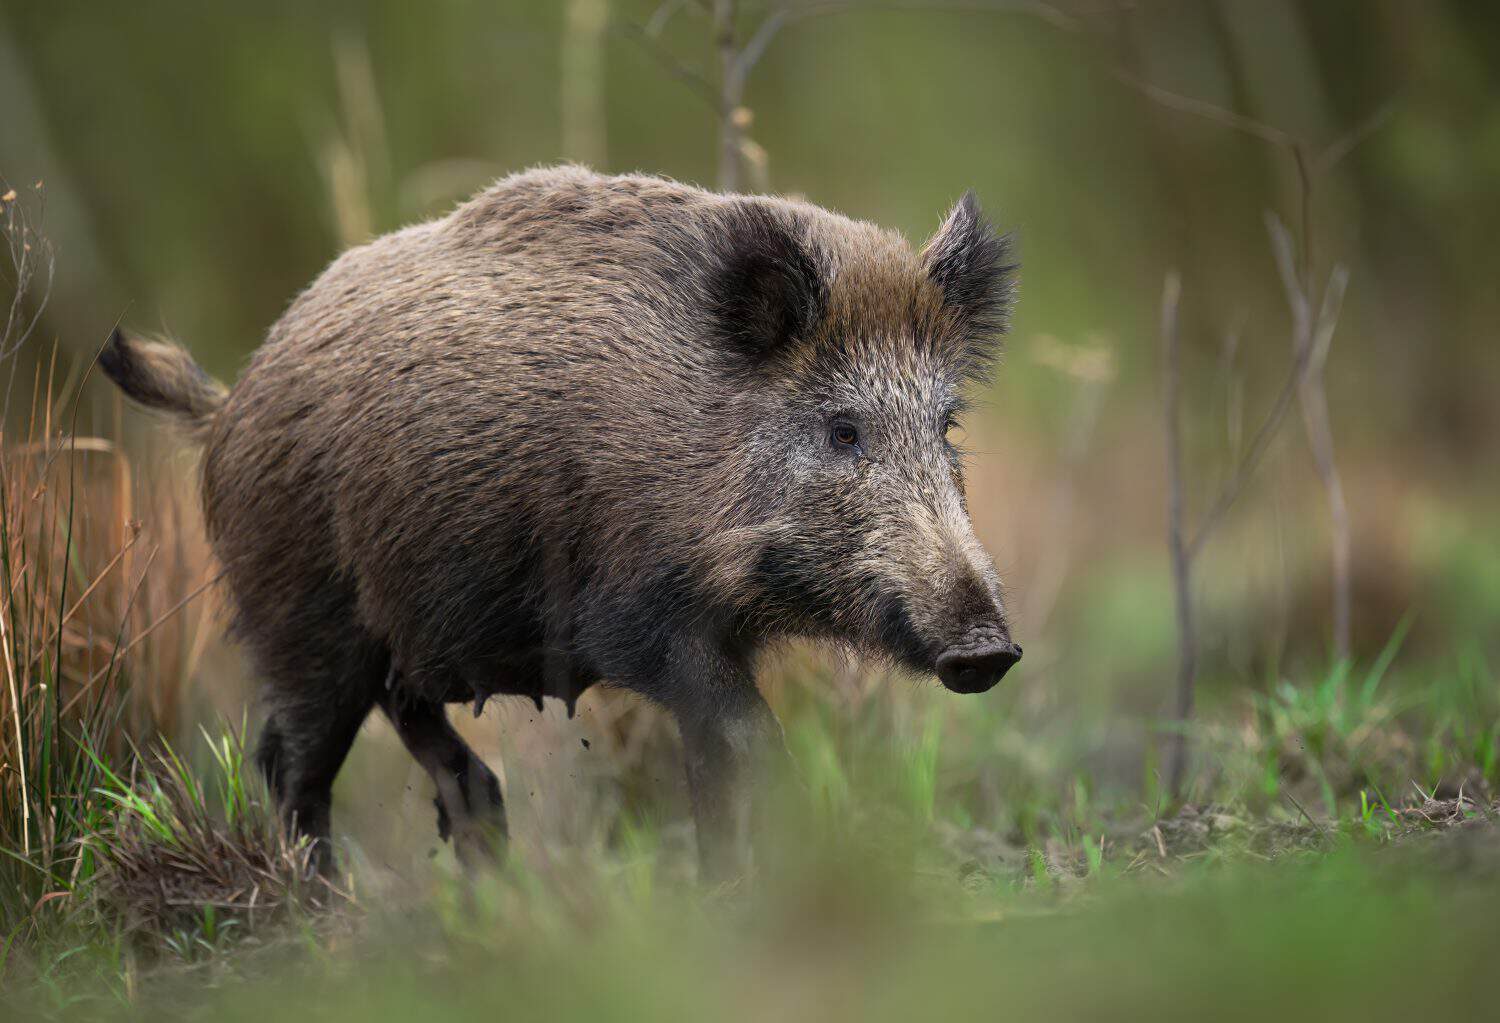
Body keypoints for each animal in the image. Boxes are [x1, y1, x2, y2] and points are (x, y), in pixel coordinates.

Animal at [101, 165, 1021, 879]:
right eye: (842, 430)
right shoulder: (633, 614)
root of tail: (226, 406)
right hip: (300, 617)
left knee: (416, 729)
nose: (988, 649)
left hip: (403, 627)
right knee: (291, 764)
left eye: (946, 425)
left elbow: (716, 763)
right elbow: (748, 741)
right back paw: (326, 919)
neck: (699, 435)